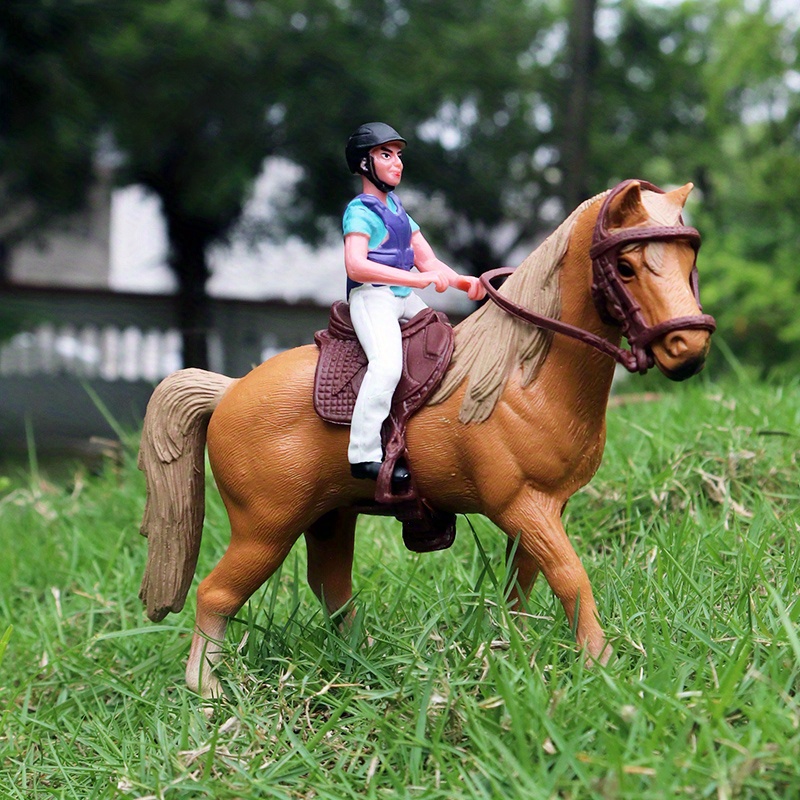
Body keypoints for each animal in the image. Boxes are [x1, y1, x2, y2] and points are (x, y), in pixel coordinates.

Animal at [136, 178, 712, 696]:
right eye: (625, 266)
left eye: (689, 260)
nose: (688, 349)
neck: (519, 377)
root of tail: (230, 389)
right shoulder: (523, 505)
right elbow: (570, 577)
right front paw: (603, 666)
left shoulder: (547, 507)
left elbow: (522, 584)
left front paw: (519, 652)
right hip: (266, 528)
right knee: (216, 594)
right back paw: (207, 691)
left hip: (328, 515)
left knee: (330, 586)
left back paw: (364, 663)